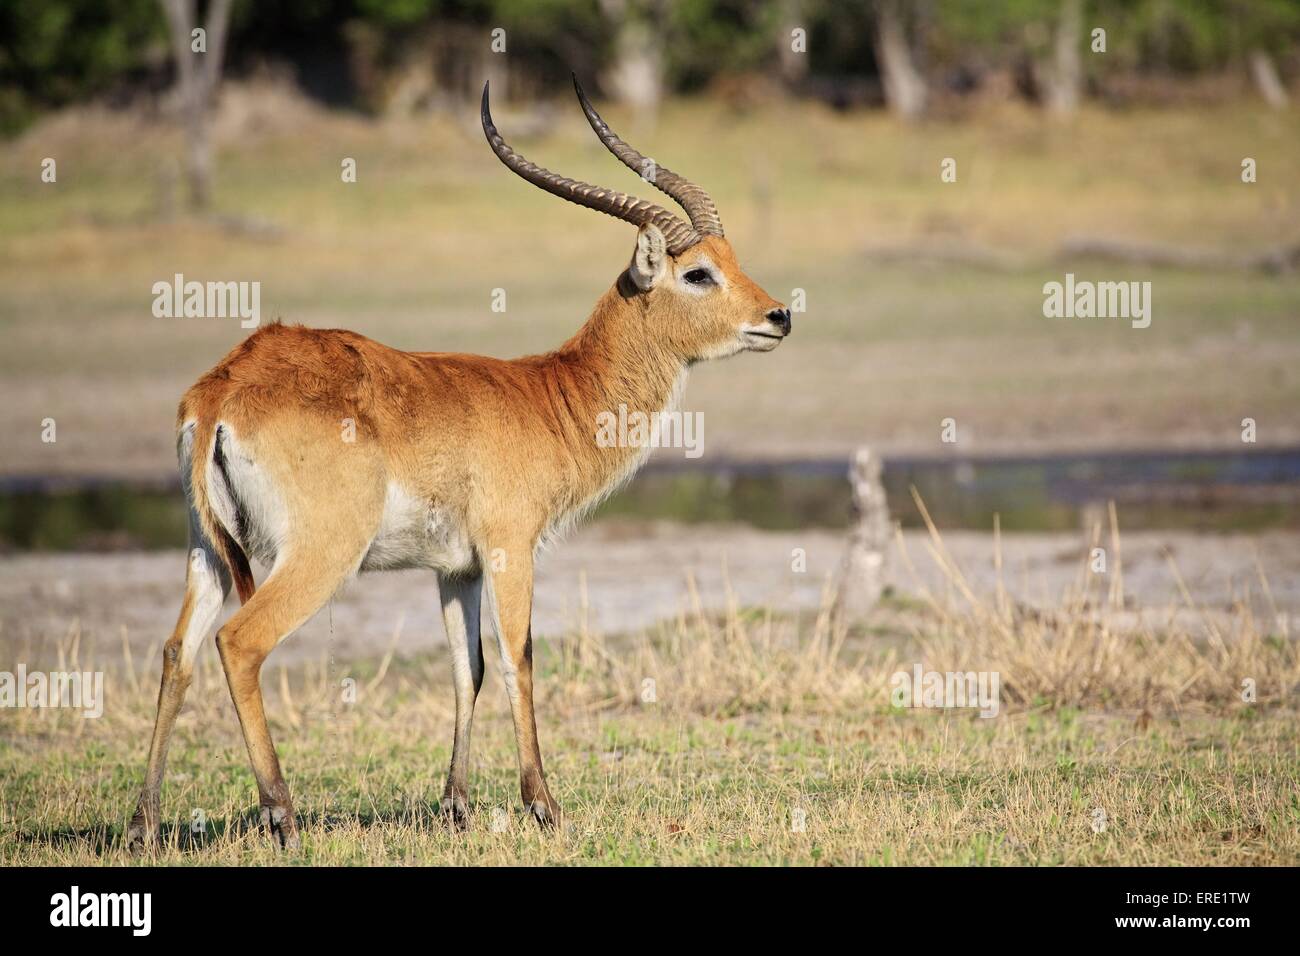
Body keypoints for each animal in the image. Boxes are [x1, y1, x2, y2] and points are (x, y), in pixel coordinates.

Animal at [126, 76, 790, 853]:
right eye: (698, 273)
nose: (779, 316)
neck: (551, 397)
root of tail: (224, 388)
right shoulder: (510, 548)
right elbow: (517, 658)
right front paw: (544, 806)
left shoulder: (455, 569)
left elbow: (464, 668)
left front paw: (457, 807)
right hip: (319, 554)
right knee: (239, 642)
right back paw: (282, 816)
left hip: (206, 547)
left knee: (178, 651)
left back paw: (144, 825)